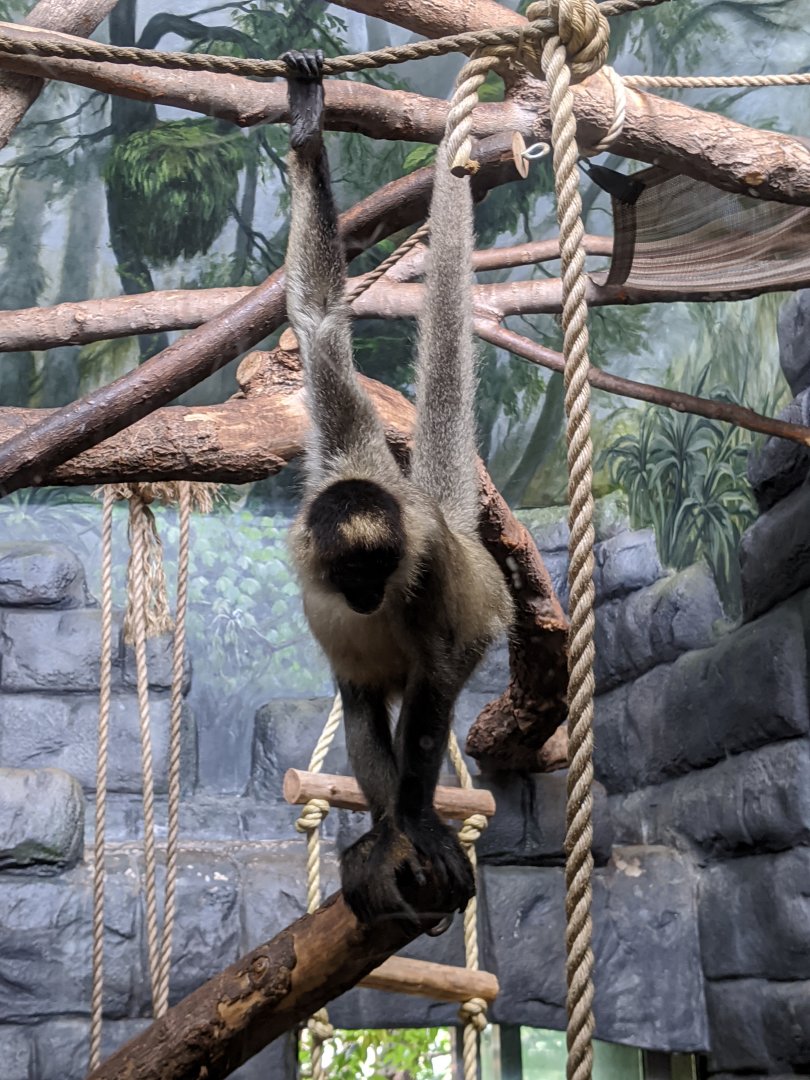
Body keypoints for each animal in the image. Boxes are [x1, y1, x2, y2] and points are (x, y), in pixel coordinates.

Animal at [282, 48, 514, 927]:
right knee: (359, 700)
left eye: (379, 570)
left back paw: (404, 827)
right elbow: (318, 318)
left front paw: (417, 824)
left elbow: (439, 675)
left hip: (477, 592)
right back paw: (383, 833)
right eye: (350, 572)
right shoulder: (338, 450)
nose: (365, 598)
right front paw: (307, 127)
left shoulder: (427, 569)